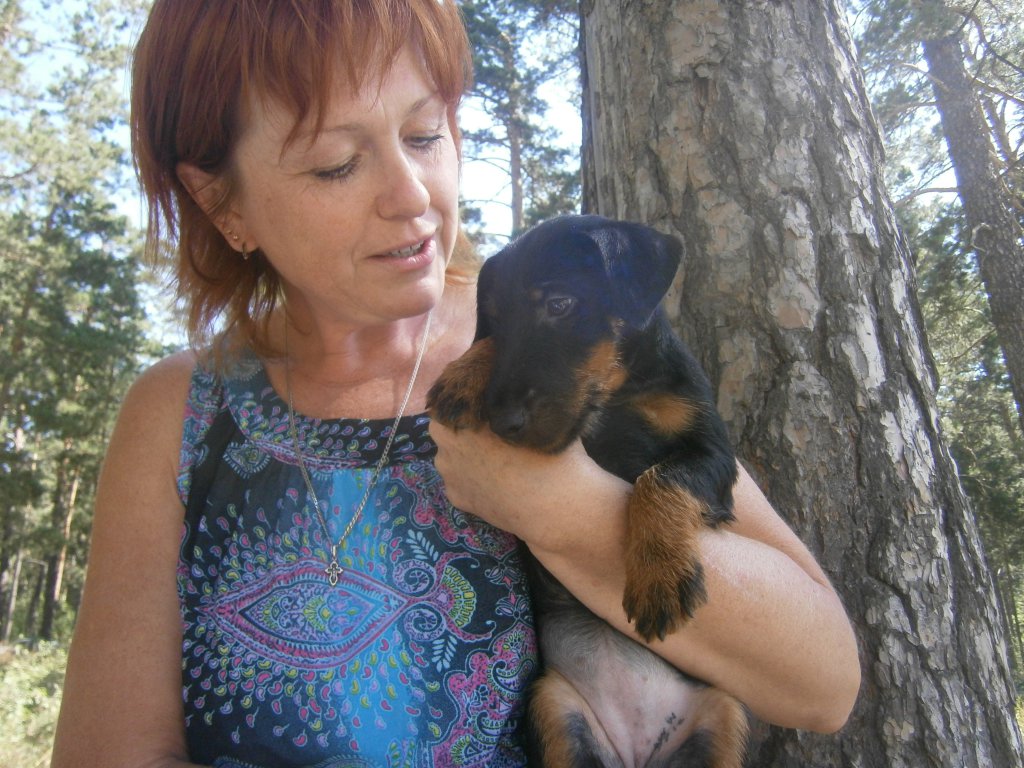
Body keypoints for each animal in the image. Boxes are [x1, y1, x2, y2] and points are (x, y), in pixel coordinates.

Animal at [427, 215, 749, 767]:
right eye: (495, 318)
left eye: (559, 305)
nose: (504, 423)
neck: (617, 394)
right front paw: (464, 374)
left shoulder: (712, 454)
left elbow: (662, 479)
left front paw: (660, 576)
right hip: (553, 708)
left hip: (726, 713)